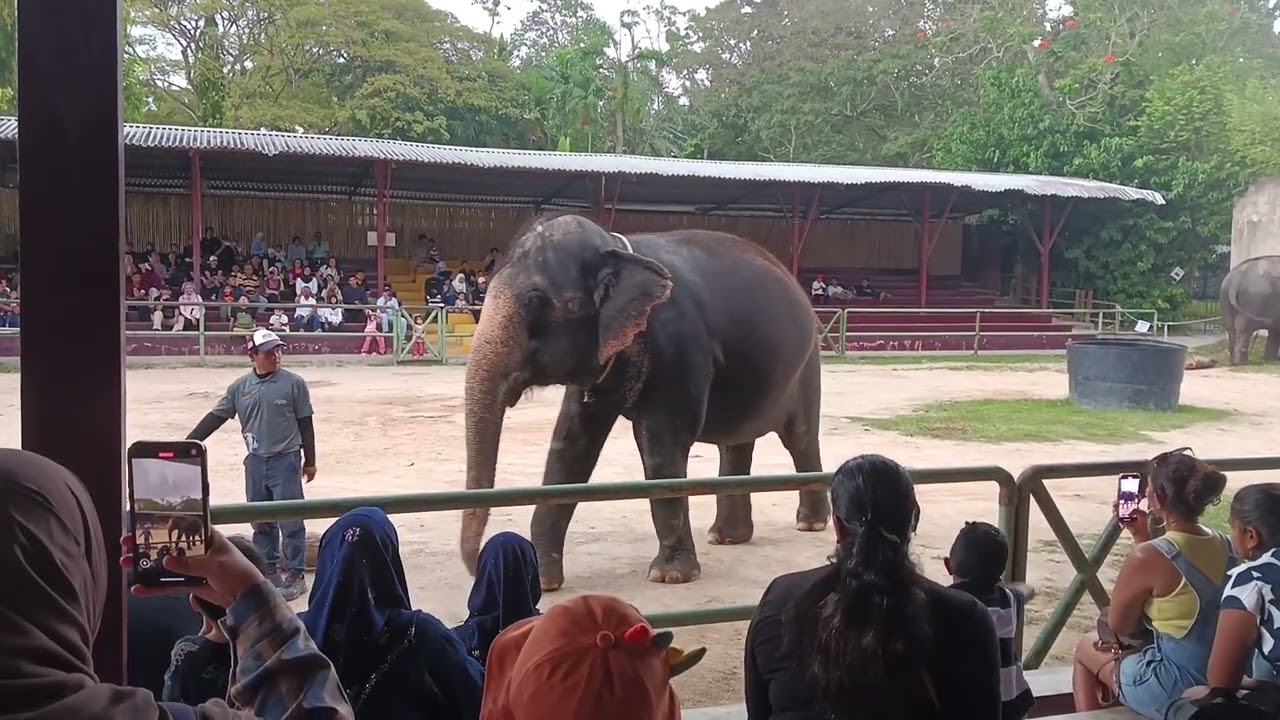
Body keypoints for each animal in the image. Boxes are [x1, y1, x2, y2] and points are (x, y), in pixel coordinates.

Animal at [460, 212, 832, 591]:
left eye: (534, 300)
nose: (479, 567)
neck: (618, 249)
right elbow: (569, 447)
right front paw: (543, 582)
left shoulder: (679, 346)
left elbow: (660, 446)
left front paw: (671, 576)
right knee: (737, 444)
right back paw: (727, 537)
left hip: (808, 365)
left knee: (800, 437)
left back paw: (810, 524)